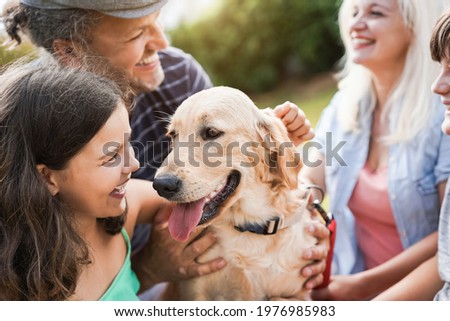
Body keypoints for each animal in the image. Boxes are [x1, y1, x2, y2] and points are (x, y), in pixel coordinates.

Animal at [153, 85, 318, 300]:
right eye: (172, 135)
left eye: (211, 132)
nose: (161, 185)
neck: (250, 225)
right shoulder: (195, 291)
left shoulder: (298, 294)